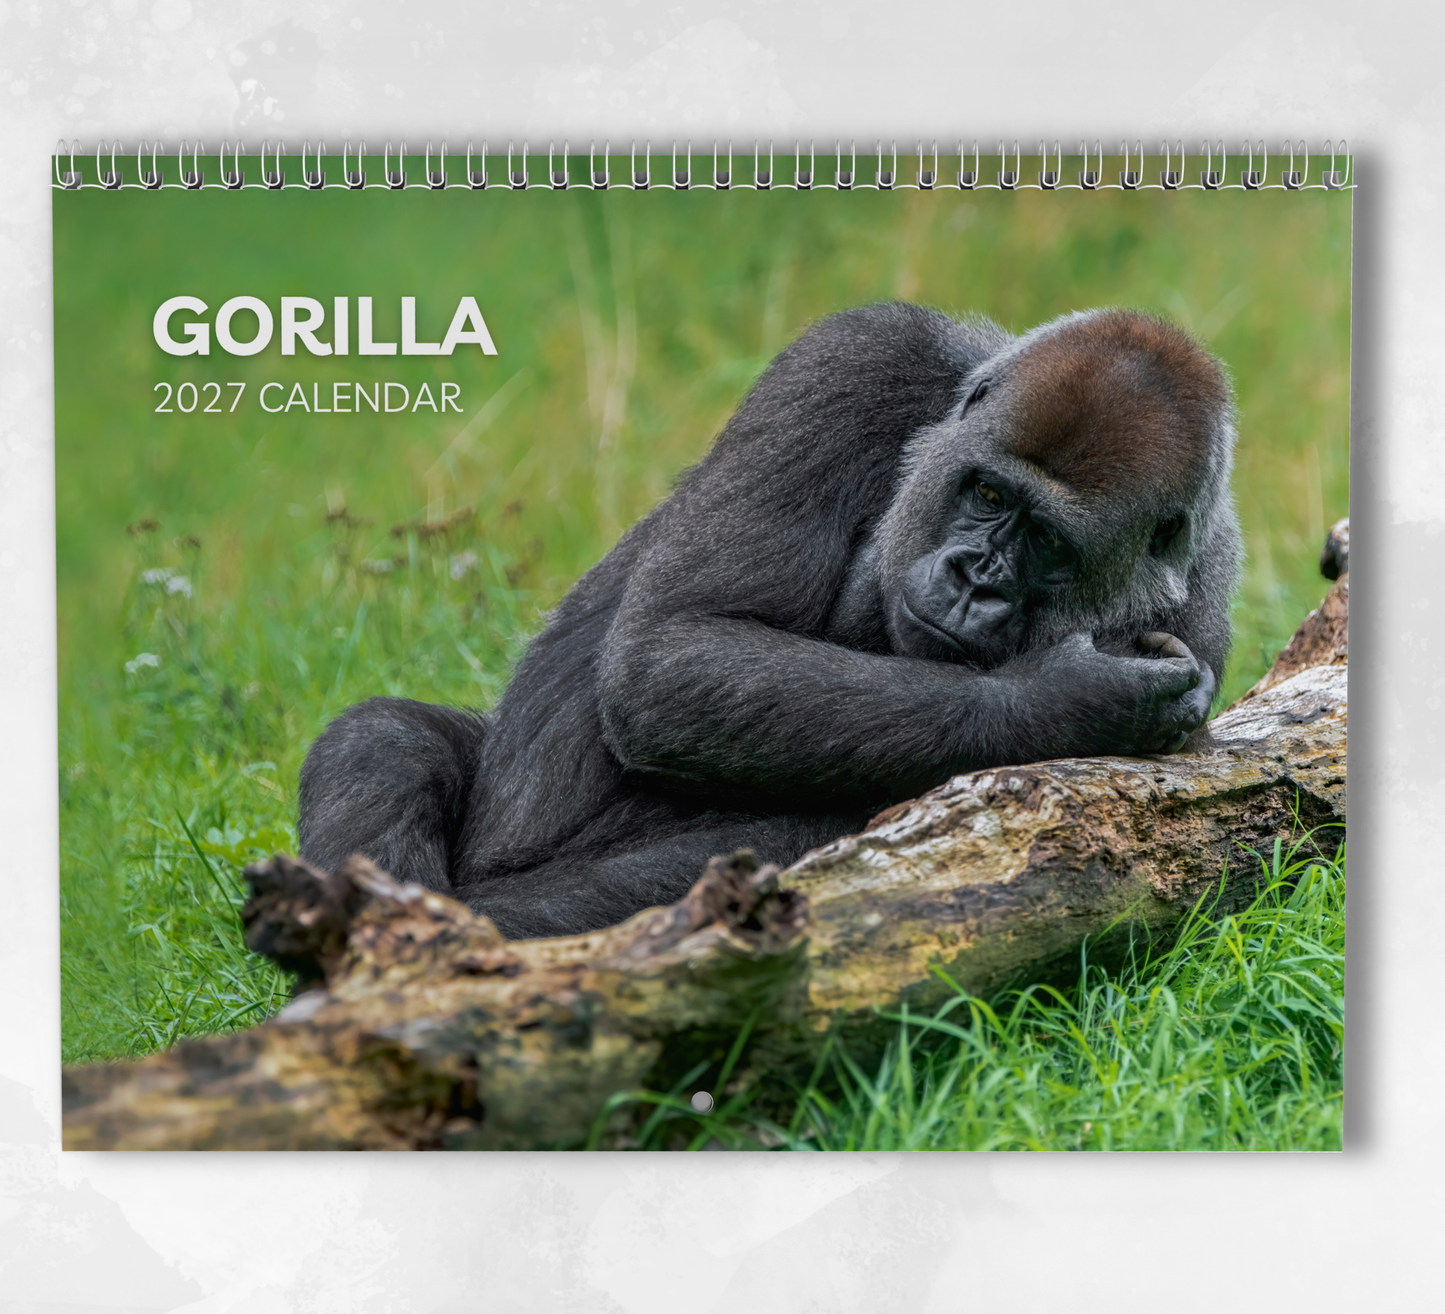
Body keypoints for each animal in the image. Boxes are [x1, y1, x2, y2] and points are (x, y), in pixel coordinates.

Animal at [299, 302, 1241, 939]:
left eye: (1046, 542)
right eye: (984, 493)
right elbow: (674, 649)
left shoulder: (1204, 598)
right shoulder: (858, 355)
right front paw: (1068, 698)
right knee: (380, 739)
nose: (974, 580)